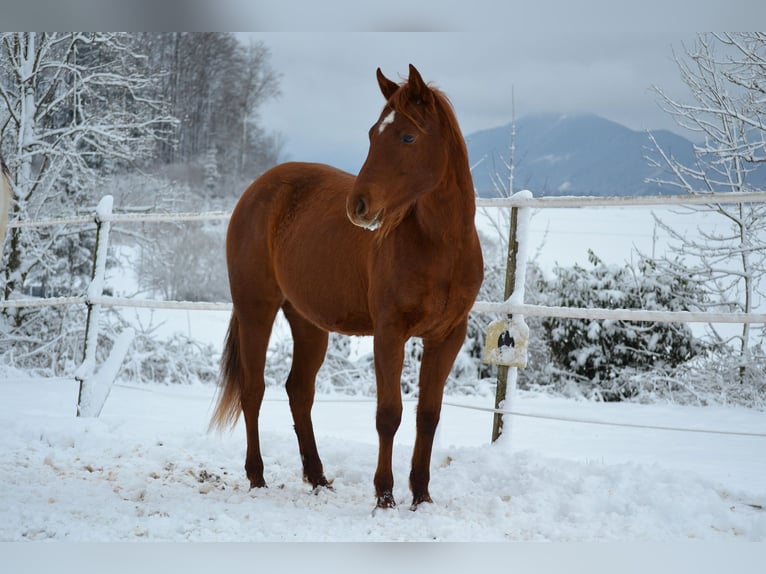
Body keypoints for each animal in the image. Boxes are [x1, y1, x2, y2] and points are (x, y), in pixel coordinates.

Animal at [210, 65, 484, 510]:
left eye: (407, 137)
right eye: (373, 133)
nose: (358, 206)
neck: (440, 246)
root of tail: (257, 189)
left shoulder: (447, 337)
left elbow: (428, 415)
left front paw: (421, 496)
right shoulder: (389, 333)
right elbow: (389, 414)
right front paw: (385, 496)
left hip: (308, 323)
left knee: (299, 391)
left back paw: (318, 477)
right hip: (256, 309)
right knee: (253, 389)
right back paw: (257, 476)